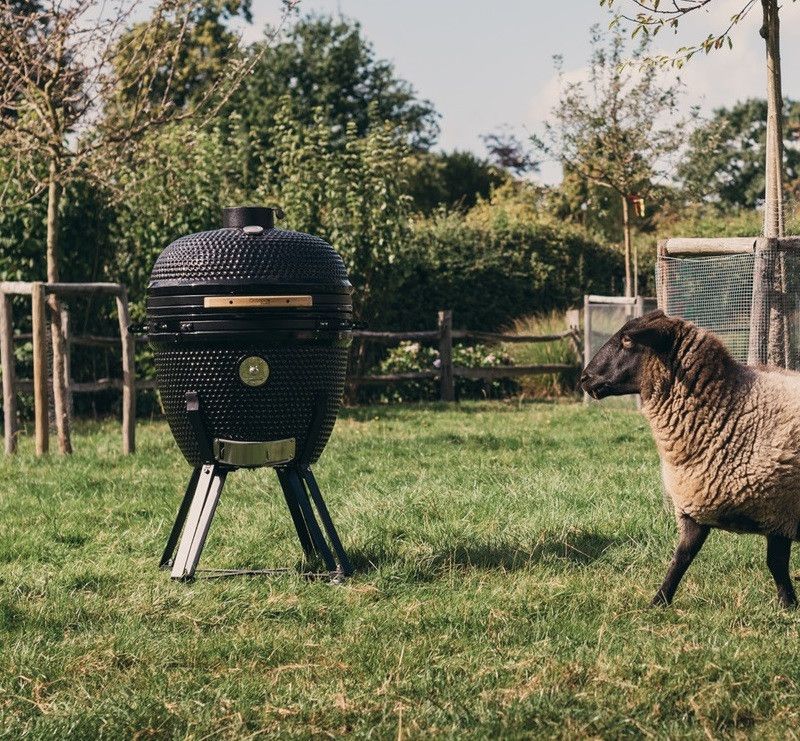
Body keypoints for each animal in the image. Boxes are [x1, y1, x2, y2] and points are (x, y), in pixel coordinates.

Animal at [580, 308, 800, 608]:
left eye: (627, 340)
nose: (584, 378)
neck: (731, 408)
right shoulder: (696, 502)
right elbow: (681, 558)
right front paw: (659, 602)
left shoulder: (779, 508)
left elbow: (775, 563)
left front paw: (788, 604)